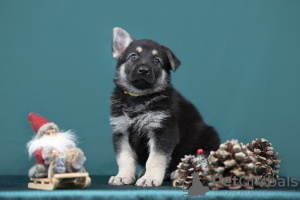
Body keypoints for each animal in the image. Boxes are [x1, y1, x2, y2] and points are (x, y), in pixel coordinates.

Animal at [108, 27, 220, 187]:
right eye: (133, 56)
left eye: (157, 61)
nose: (143, 70)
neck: (139, 97)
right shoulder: (121, 131)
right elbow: (124, 158)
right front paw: (123, 176)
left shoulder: (163, 131)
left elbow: (155, 158)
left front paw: (150, 178)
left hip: (207, 140)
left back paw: (178, 173)